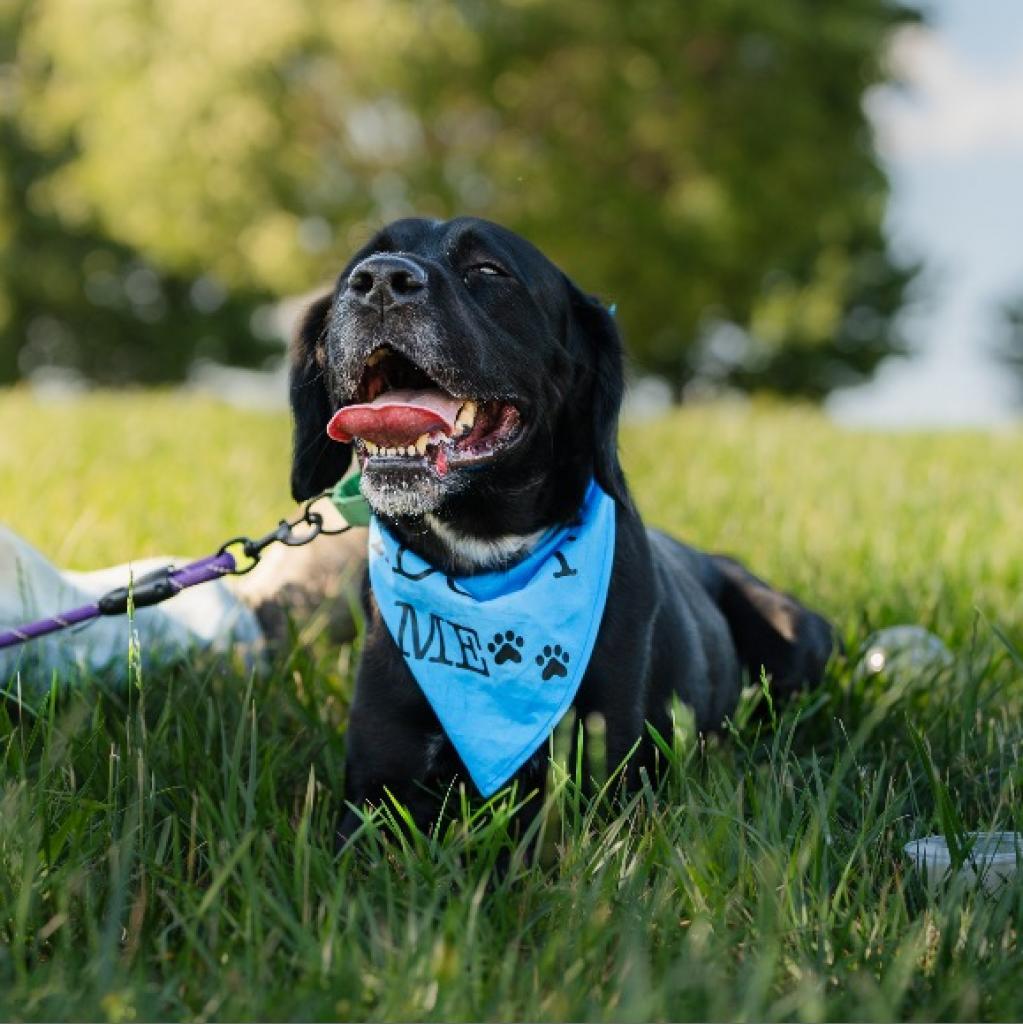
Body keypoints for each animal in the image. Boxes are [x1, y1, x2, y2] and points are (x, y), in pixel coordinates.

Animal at [286, 216, 831, 839]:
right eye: (357, 266)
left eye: (487, 270)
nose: (379, 281)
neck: (484, 559)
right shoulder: (375, 795)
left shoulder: (597, 791)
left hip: (797, 638)